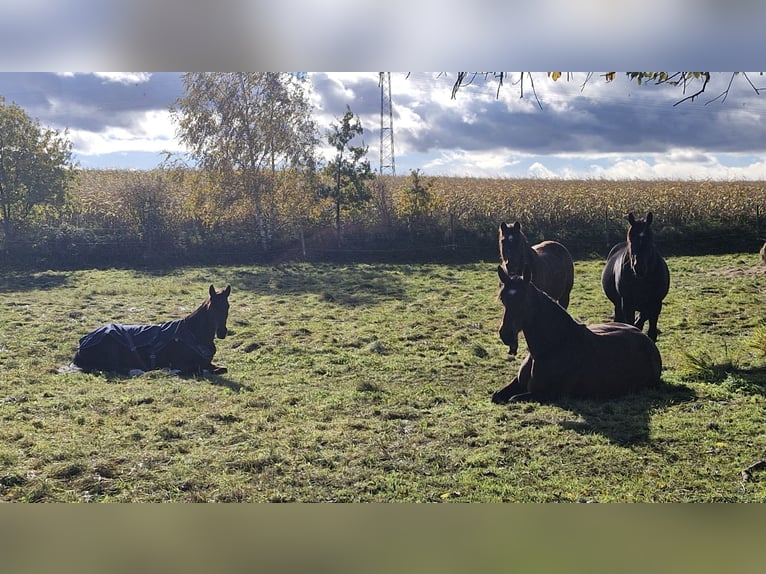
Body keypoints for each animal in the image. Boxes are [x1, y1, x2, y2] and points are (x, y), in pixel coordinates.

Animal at [72, 284, 231, 375]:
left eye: (227, 306)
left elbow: (221, 369)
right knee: (113, 368)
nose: (222, 333)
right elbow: (196, 370)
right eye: (212, 307)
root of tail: (82, 344)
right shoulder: (184, 364)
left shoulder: (207, 363)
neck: (193, 334)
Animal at [491, 265, 661, 403]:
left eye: (524, 299)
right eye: (503, 299)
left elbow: (513, 398)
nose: (505, 334)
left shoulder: (545, 394)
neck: (551, 347)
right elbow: (496, 395)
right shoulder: (518, 383)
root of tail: (648, 341)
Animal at [601, 212, 670, 341]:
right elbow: (631, 324)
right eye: (631, 242)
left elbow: (649, 327)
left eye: (650, 241)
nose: (639, 268)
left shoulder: (656, 303)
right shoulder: (627, 304)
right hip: (618, 304)